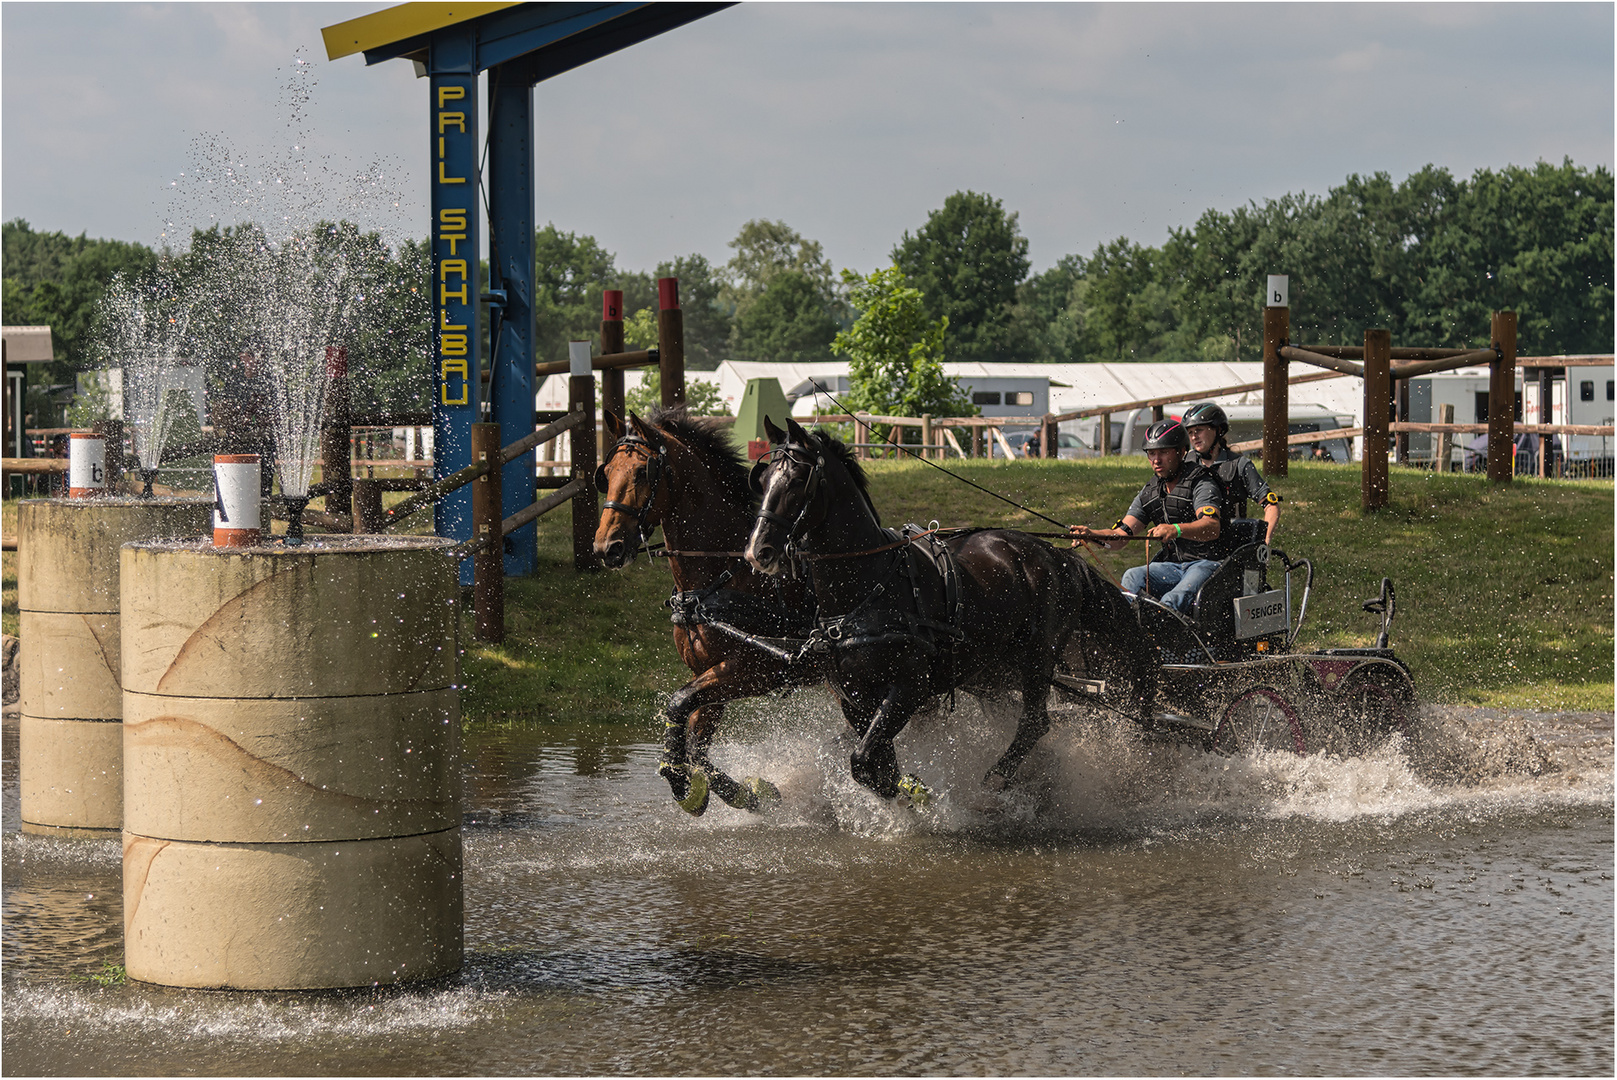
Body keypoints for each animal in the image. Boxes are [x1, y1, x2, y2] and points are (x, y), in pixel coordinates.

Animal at [595, 409, 821, 814]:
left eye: (642, 473)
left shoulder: (754, 669)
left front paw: (679, 776)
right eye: (605, 474)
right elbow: (697, 746)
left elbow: (678, 707)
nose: (607, 547)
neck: (725, 575)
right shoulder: (707, 673)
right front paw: (745, 792)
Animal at [740, 413, 1157, 801]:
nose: (759, 551)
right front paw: (904, 790)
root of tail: (1056, 555)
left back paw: (997, 779)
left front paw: (912, 795)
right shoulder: (855, 700)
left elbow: (864, 760)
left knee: (1035, 722)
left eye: (797, 480)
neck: (867, 589)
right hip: (992, 670)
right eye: (763, 480)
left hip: (1038, 657)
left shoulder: (909, 688)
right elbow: (875, 761)